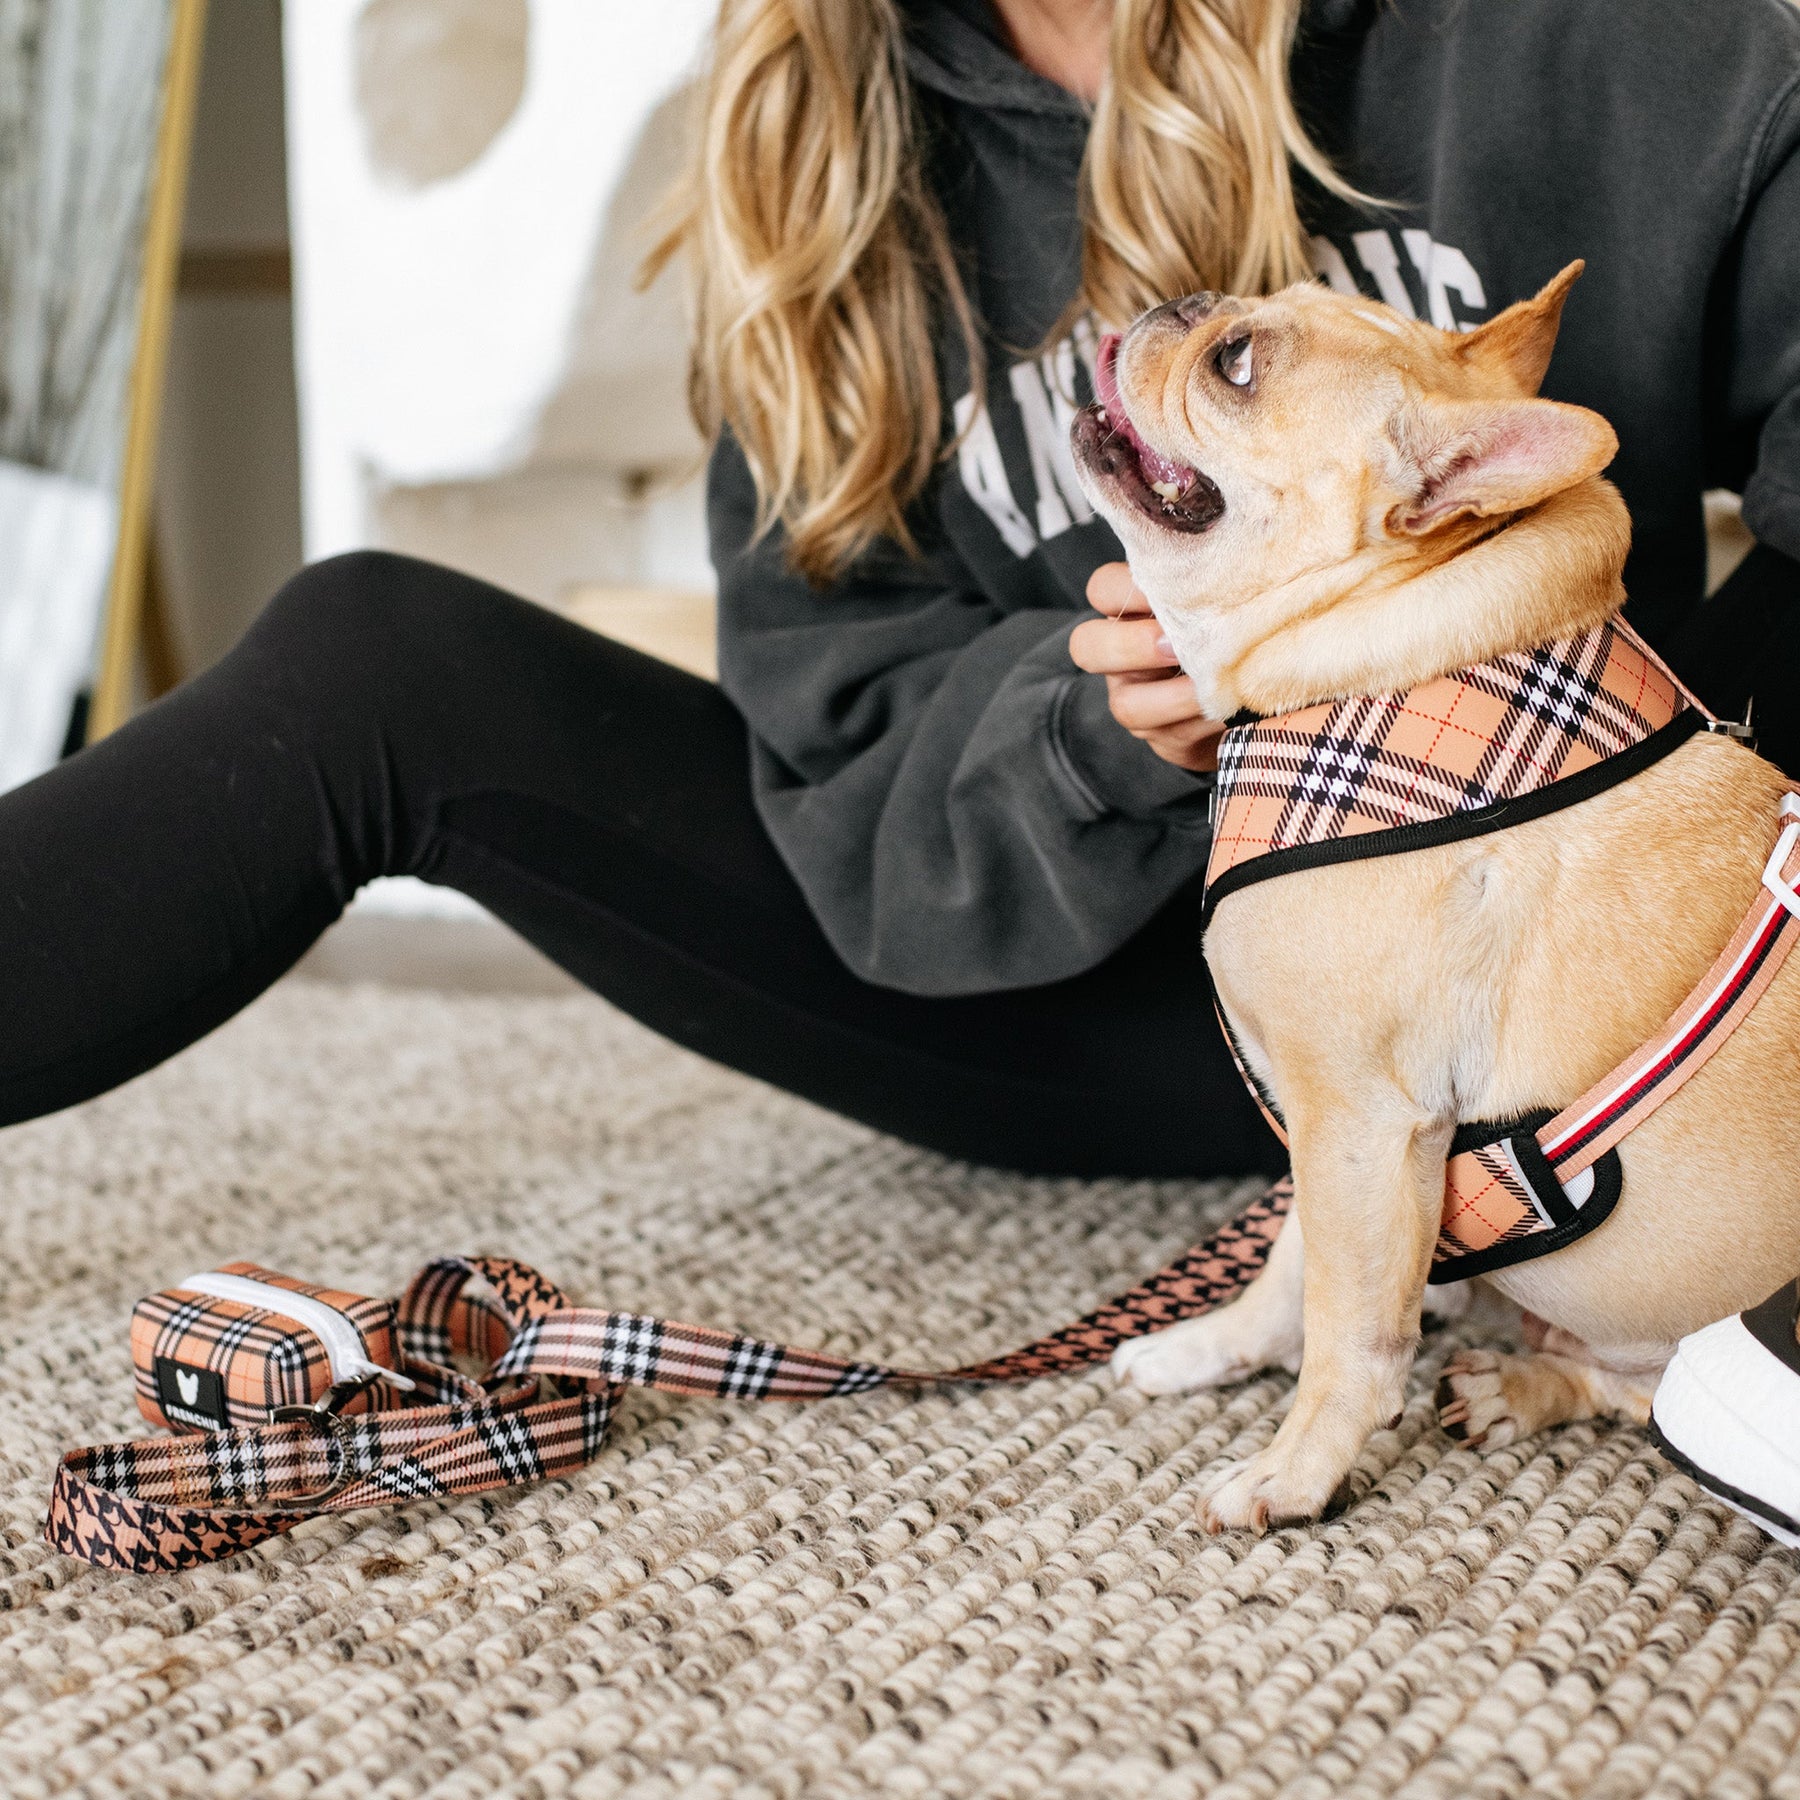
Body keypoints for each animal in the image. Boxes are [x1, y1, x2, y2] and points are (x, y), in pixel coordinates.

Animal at [1070, 264, 1800, 1533]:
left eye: (1237, 366)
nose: (1183, 299)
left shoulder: (1359, 1117)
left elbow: (1348, 1330)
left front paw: (1297, 1470)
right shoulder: (1324, 1132)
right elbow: (1290, 1267)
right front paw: (1211, 1348)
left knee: (1642, 1396)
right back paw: (1514, 1379)